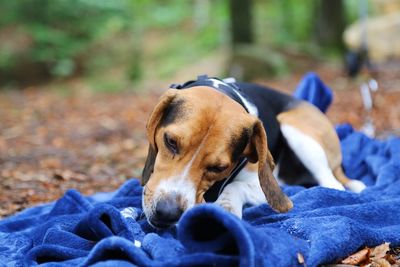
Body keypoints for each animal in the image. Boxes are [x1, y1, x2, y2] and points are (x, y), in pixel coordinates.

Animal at [141, 76, 366, 229]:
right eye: (170, 142)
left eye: (218, 168)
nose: (167, 213)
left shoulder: (262, 185)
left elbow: (235, 187)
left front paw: (225, 208)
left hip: (295, 129)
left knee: (332, 183)